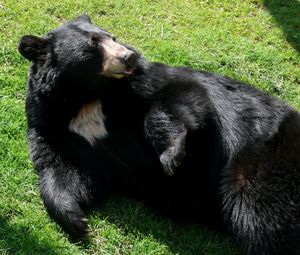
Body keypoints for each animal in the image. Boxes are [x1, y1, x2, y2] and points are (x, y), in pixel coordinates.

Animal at [18, 14, 300, 254]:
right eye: (93, 44)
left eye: (113, 37)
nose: (129, 56)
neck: (86, 96)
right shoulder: (52, 128)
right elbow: (63, 170)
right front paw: (78, 222)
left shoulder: (146, 83)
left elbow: (184, 97)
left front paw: (171, 156)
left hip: (260, 164)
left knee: (261, 212)